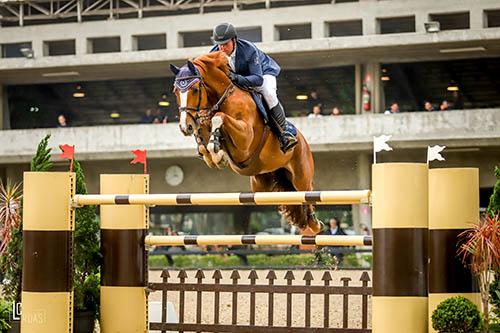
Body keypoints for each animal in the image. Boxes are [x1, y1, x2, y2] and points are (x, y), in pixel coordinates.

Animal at [170, 52, 322, 233]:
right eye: (175, 91)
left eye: (194, 90)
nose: (185, 127)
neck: (222, 98)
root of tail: (304, 143)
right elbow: (204, 129)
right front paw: (211, 154)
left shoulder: (245, 138)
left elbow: (219, 117)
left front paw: (216, 151)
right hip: (261, 185)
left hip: (301, 176)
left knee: (307, 194)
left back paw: (314, 224)